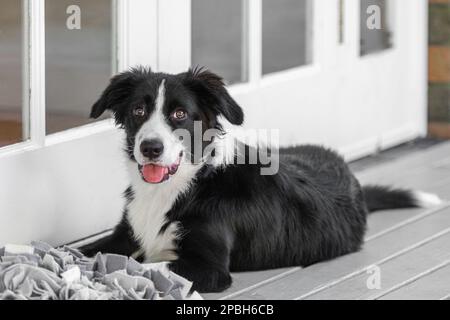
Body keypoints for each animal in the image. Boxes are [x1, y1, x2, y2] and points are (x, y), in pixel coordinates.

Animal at [80, 66, 440, 292]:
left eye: (180, 114)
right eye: (138, 111)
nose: (150, 148)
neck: (186, 185)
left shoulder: (211, 269)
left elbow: (137, 267)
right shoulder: (126, 234)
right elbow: (87, 251)